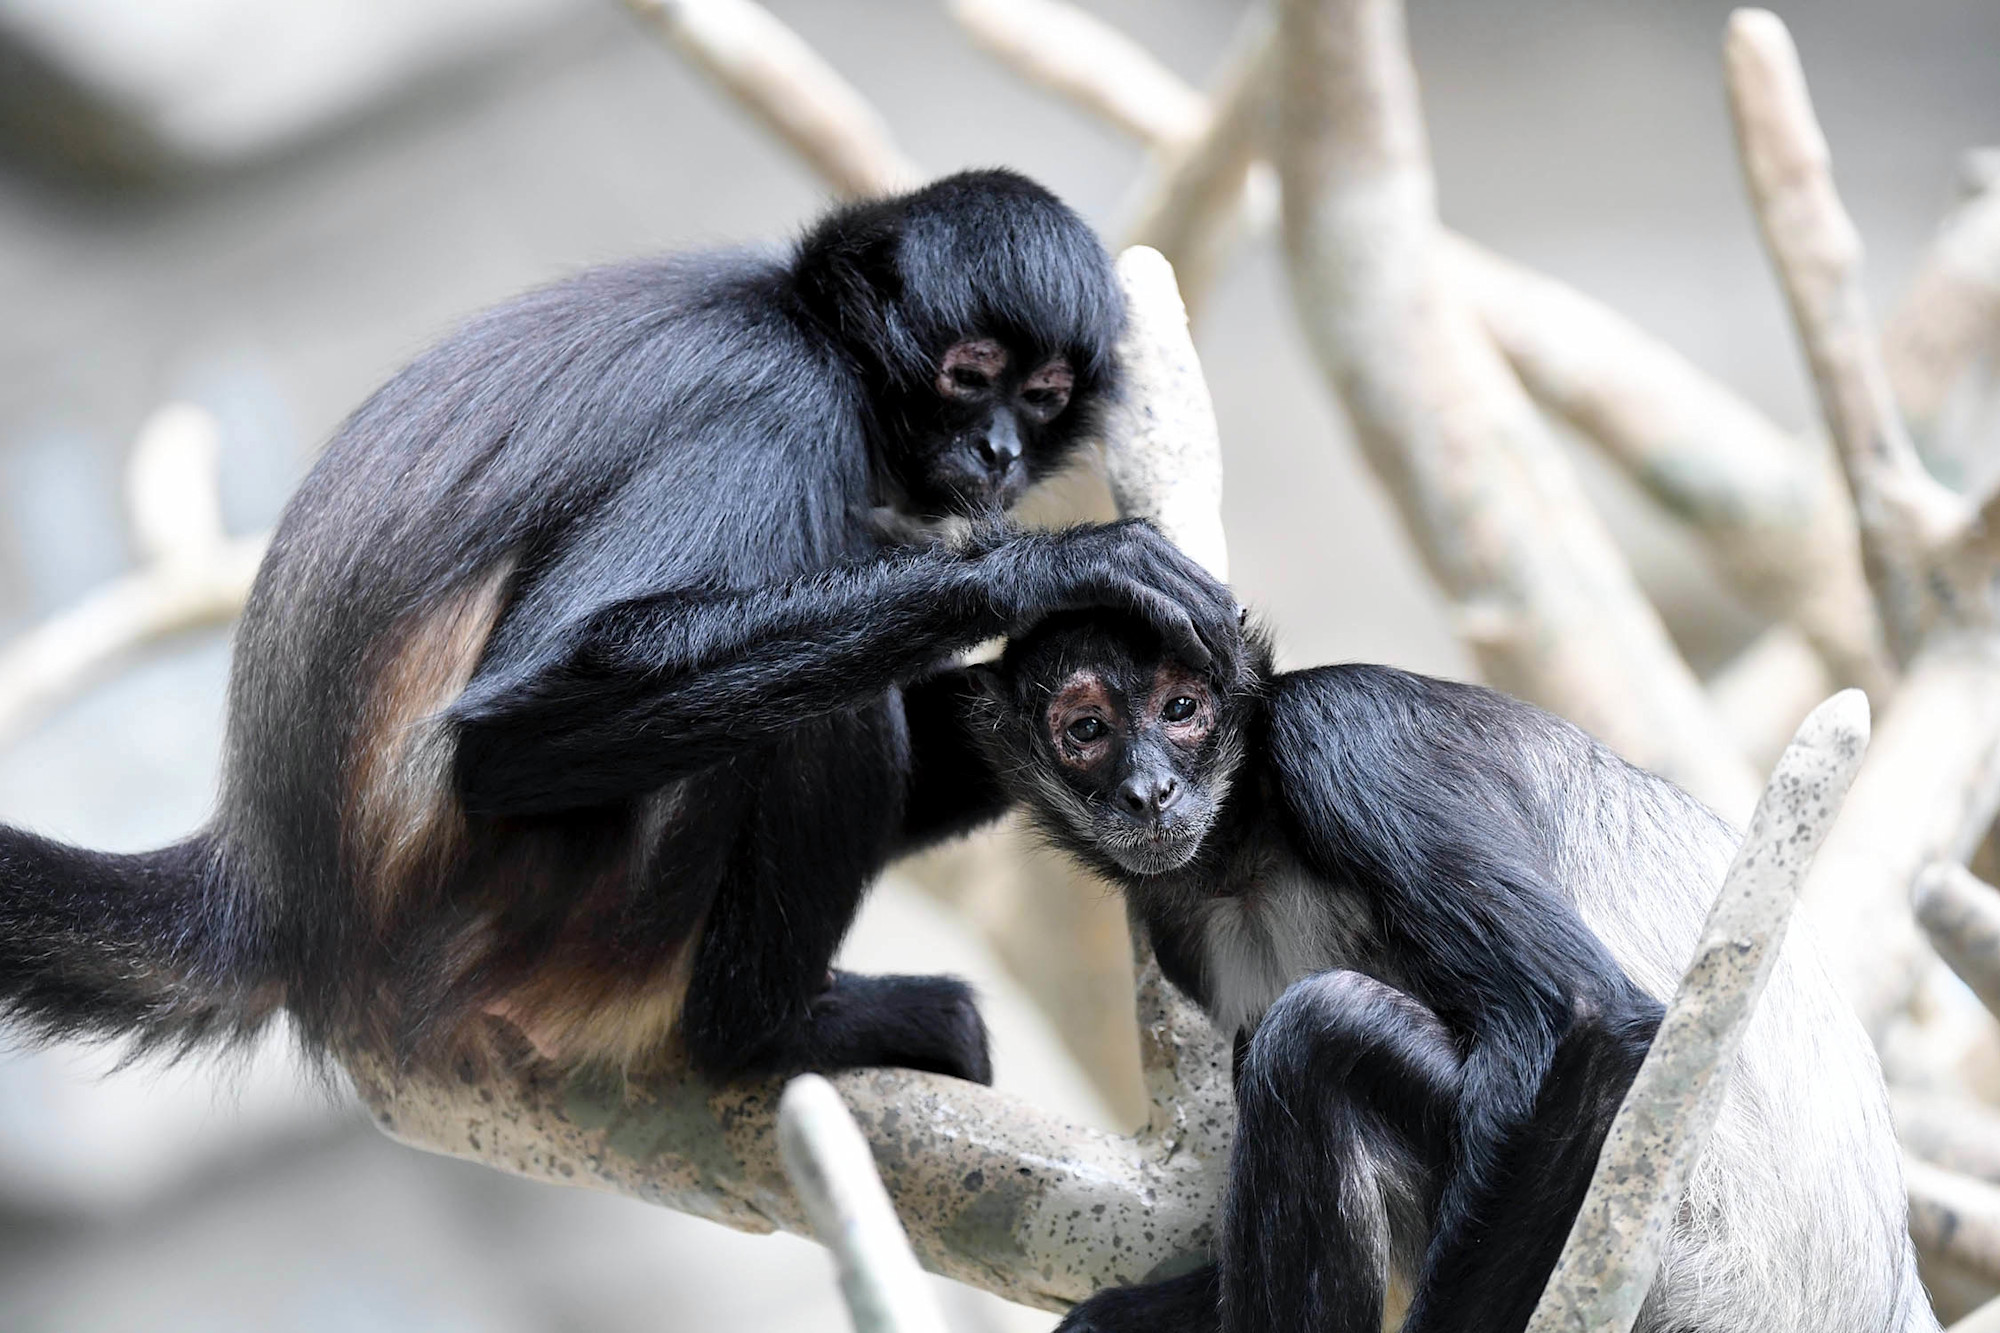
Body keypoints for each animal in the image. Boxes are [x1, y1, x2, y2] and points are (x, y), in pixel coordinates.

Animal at [0, 169, 1244, 1089]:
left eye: (1040, 396)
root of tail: (280, 880)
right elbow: (515, 734)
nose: (999, 452)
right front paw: (1053, 570)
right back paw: (763, 1039)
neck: (804, 324)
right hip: (550, 914)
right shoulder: (772, 402)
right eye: (968, 377)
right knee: (825, 719)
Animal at [972, 610, 1930, 1333]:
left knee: (1316, 1032)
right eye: (1088, 730)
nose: (1152, 790)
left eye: (1182, 708)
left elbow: (1581, 1017)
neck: (1246, 848)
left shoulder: (1342, 730)